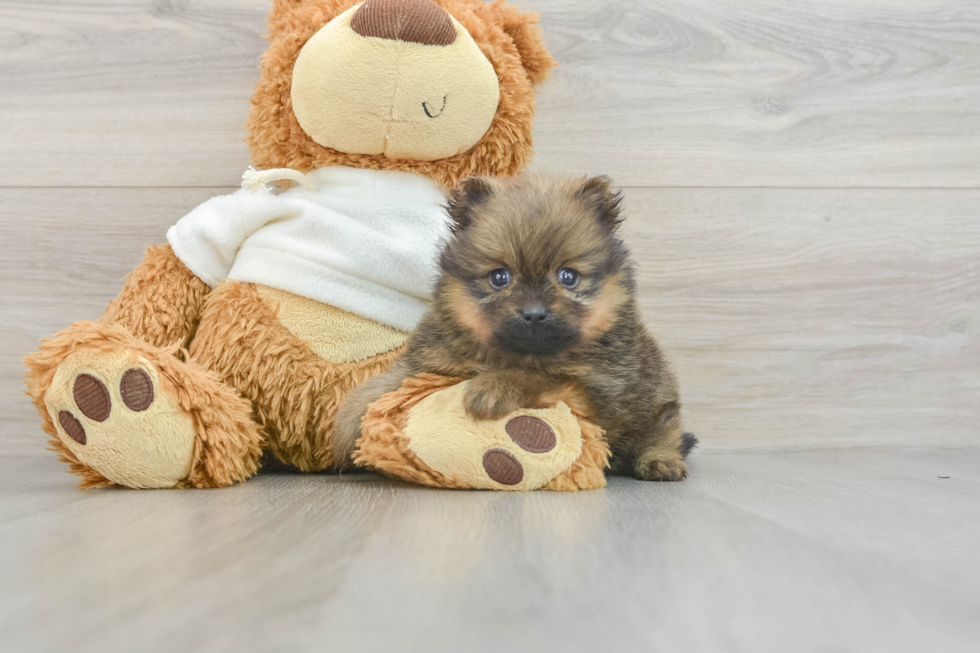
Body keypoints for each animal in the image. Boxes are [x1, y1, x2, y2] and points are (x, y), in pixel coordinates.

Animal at [336, 173, 696, 478]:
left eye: (568, 277)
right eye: (499, 278)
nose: (534, 313)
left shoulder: (595, 387)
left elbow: (536, 375)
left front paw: (494, 386)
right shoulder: (429, 361)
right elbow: (387, 383)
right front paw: (347, 423)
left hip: (659, 406)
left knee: (667, 431)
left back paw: (660, 461)